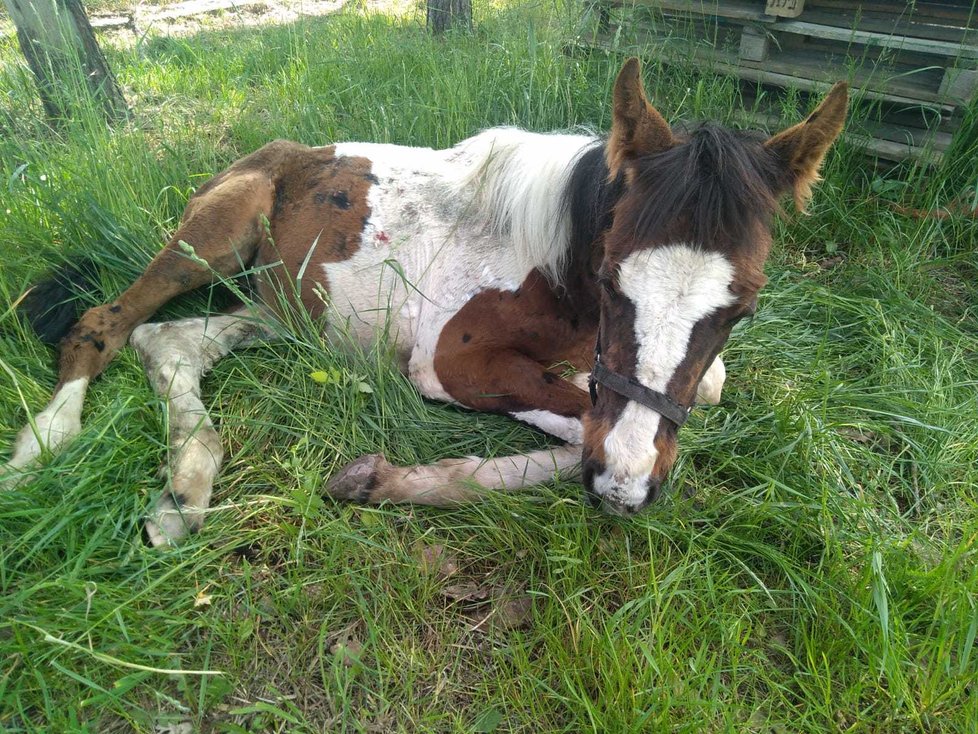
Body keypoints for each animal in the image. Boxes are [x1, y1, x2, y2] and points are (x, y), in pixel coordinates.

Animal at [1, 60, 848, 548]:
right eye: (611, 277)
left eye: (743, 309)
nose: (626, 492)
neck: (557, 259)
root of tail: (276, 155)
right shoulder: (454, 361)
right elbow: (584, 422)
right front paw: (384, 479)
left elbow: (677, 400)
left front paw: (382, 479)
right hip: (215, 235)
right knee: (105, 326)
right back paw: (43, 445)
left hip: (286, 310)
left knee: (173, 344)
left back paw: (184, 489)